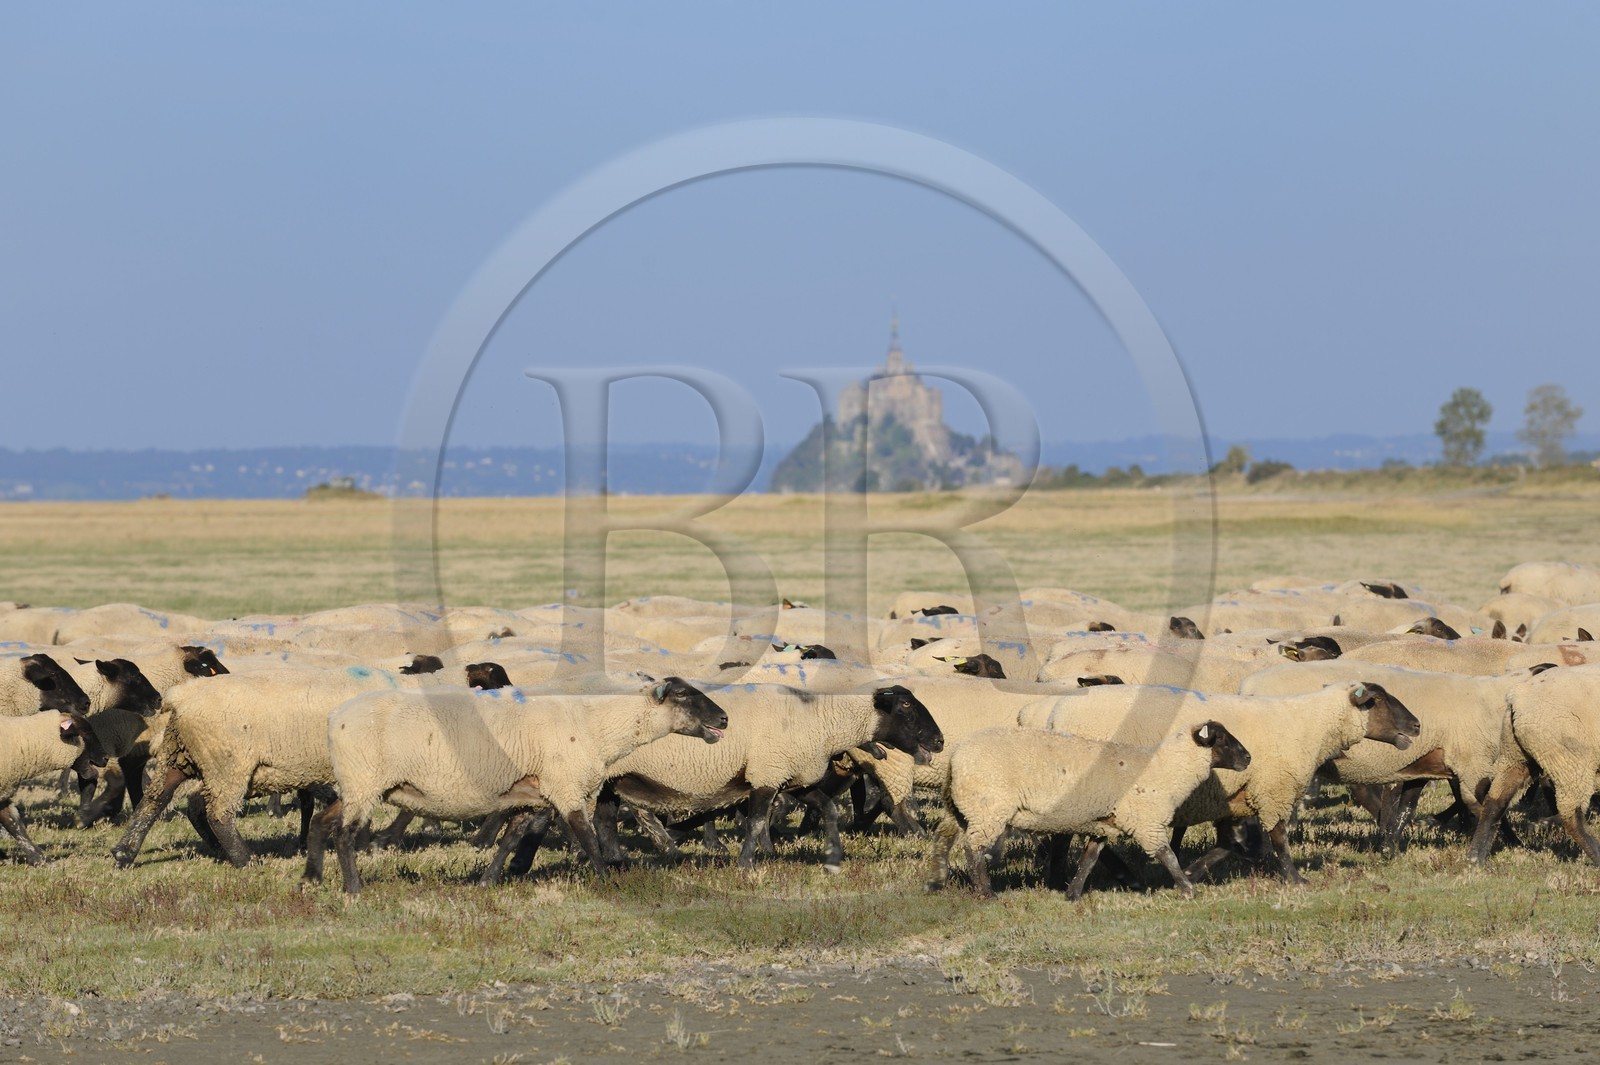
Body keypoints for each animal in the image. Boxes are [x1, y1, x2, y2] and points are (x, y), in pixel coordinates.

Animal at [322, 676, 730, 894]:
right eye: (682, 695)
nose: (725, 719)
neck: (597, 726)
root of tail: (336, 716)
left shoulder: (529, 796)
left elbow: (510, 840)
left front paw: (486, 883)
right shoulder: (567, 787)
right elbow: (589, 839)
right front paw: (603, 880)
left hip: (354, 783)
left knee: (319, 822)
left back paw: (312, 875)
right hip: (364, 781)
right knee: (343, 834)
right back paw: (353, 888)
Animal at [596, 684, 943, 872]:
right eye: (906, 705)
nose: (940, 741)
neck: (819, 721)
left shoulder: (794, 778)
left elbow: (828, 809)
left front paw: (834, 855)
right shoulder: (766, 773)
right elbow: (757, 822)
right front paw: (747, 863)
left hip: (613, 781)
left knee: (606, 821)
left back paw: (618, 859)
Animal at [925, 722, 1252, 899]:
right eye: (1222, 739)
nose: (1248, 758)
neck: (1164, 770)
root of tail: (956, 756)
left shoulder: (1102, 824)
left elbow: (1089, 860)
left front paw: (1073, 894)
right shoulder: (1146, 820)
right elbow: (1166, 855)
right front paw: (1187, 888)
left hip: (962, 808)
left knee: (944, 838)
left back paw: (937, 881)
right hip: (988, 807)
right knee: (974, 849)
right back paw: (986, 893)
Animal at [1027, 682, 1420, 883]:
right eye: (1379, 700)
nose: (1416, 725)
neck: (1307, 725)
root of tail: (1050, 714)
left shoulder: (1236, 800)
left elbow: (1234, 845)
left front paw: (1191, 871)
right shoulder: (1273, 789)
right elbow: (1279, 838)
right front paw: (1295, 879)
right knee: (1067, 833)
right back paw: (1080, 876)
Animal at [1469, 663, 1600, 866]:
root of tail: (1517, 696)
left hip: (1515, 755)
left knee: (1495, 799)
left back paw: (1476, 858)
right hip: (1570, 760)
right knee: (1571, 815)